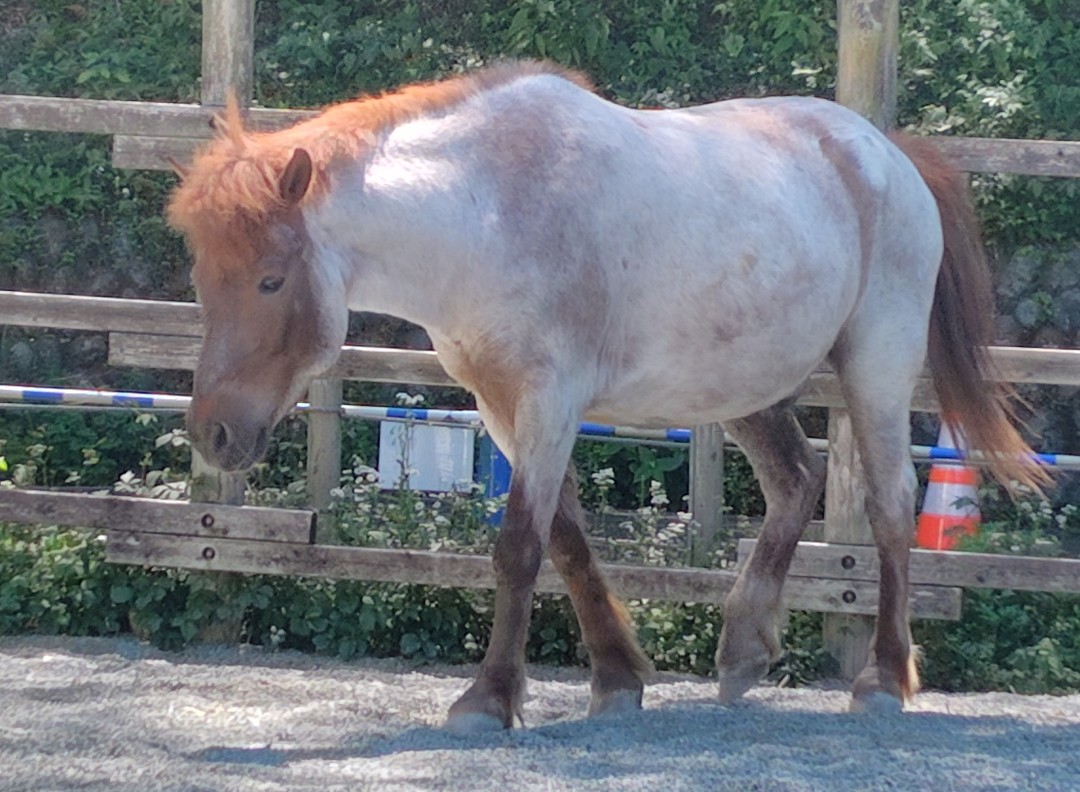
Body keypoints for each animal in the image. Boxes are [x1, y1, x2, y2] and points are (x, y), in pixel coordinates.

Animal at [167, 60, 1048, 732]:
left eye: (270, 279)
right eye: (205, 280)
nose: (213, 434)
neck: (488, 211)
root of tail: (886, 152)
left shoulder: (550, 398)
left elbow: (520, 547)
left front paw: (489, 700)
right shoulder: (502, 407)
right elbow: (566, 540)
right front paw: (618, 680)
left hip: (877, 364)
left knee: (892, 506)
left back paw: (883, 680)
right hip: (742, 386)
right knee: (795, 483)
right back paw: (743, 651)